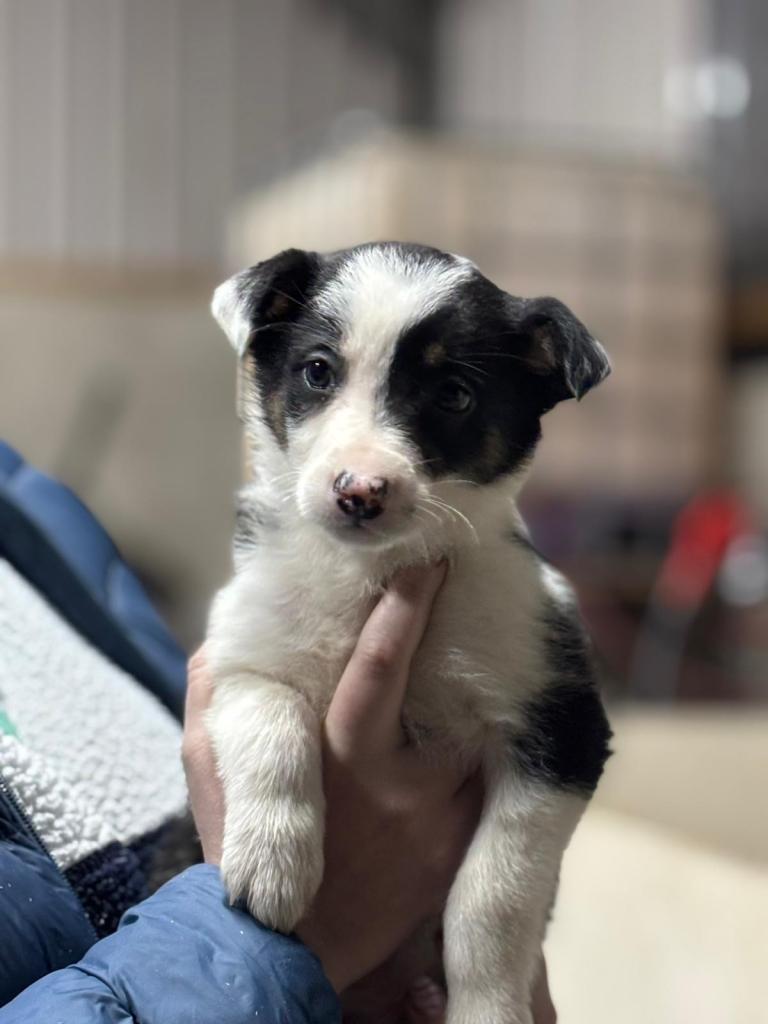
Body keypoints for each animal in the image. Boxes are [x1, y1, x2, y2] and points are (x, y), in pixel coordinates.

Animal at [206, 242, 612, 1024]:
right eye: (317, 371)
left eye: (454, 394)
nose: (359, 491)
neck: (377, 573)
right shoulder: (240, 656)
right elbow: (272, 722)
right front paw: (271, 861)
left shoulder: (561, 726)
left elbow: (493, 896)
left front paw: (487, 1007)